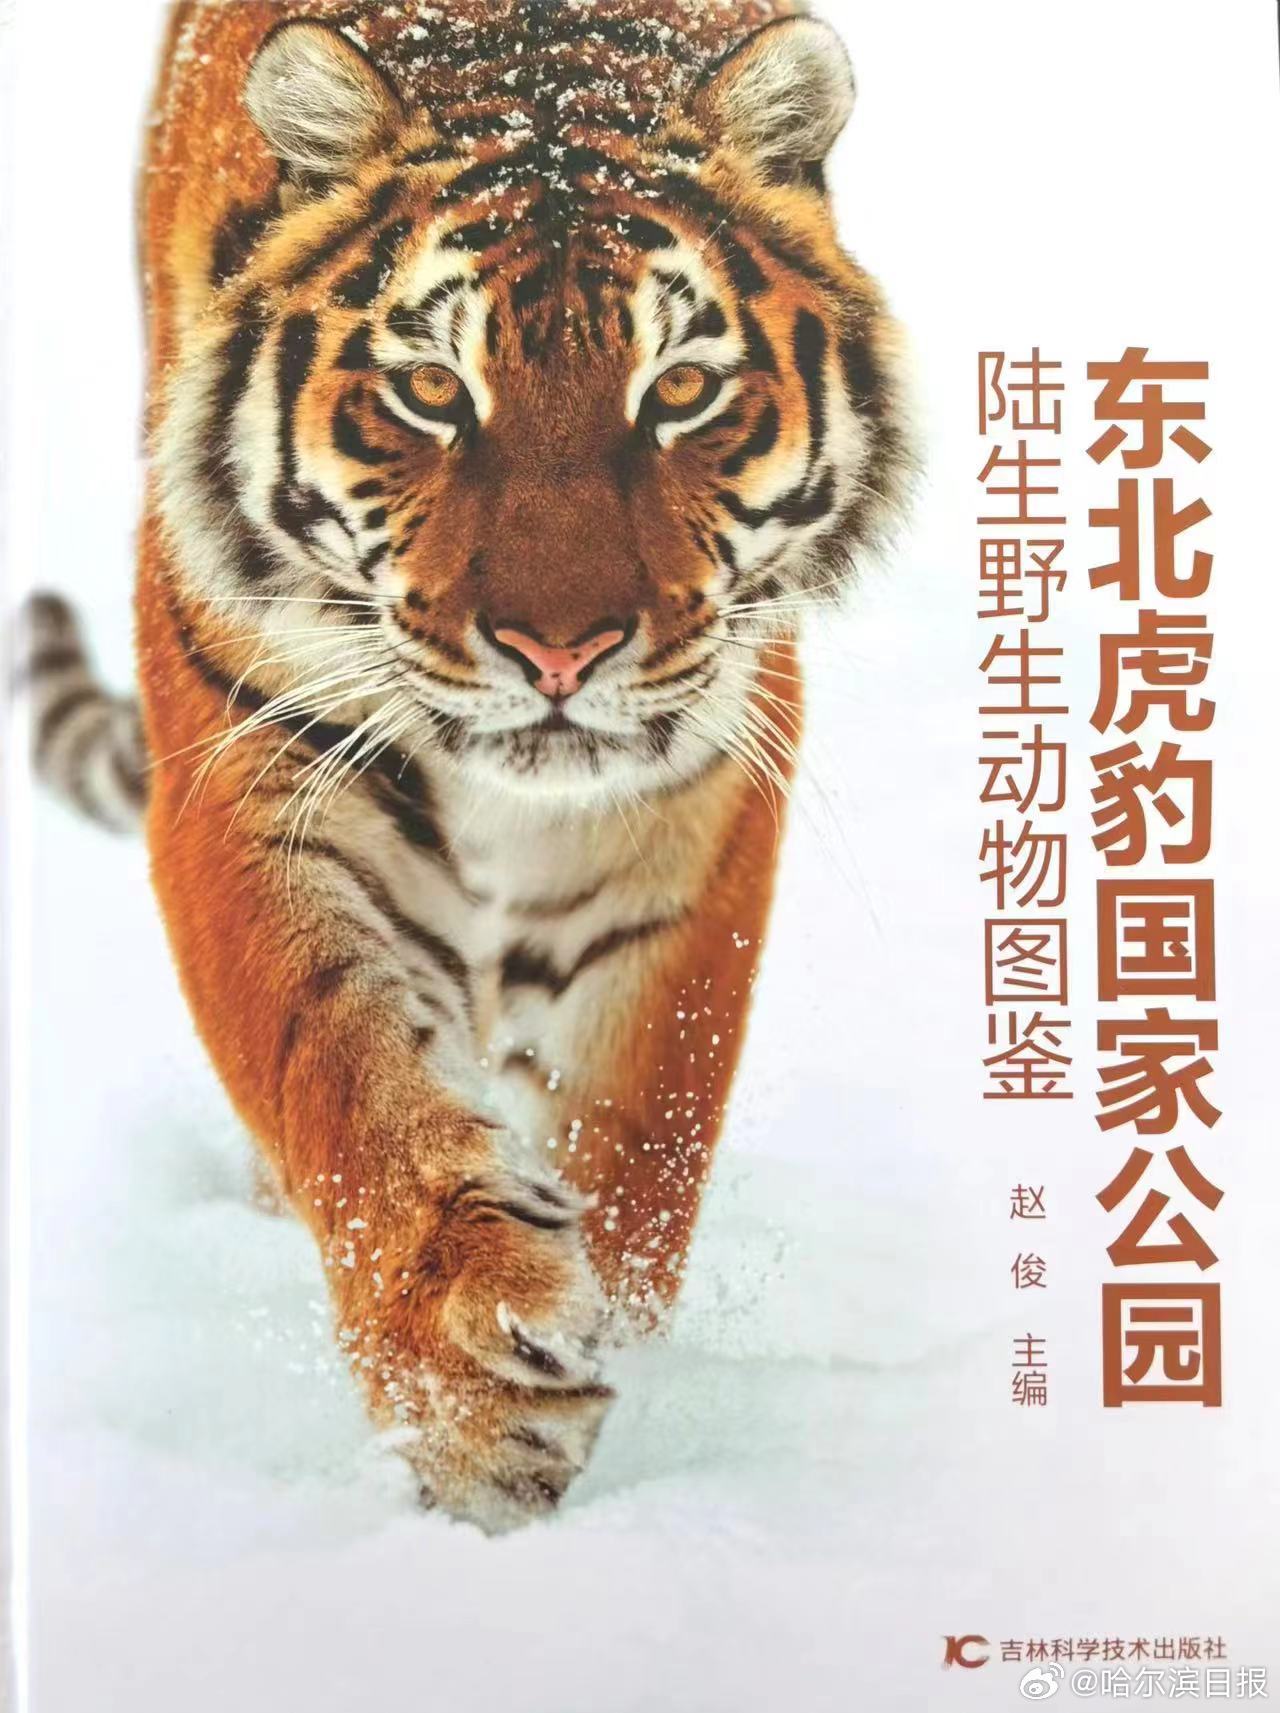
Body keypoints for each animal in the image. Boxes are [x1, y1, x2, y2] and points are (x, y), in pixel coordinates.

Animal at [23, 0, 911, 1530]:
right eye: (433, 390)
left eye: (681, 389)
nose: (559, 651)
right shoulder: (247, 752)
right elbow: (341, 1075)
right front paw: (473, 1399)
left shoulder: (699, 795)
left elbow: (639, 1128)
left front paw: (600, 1344)